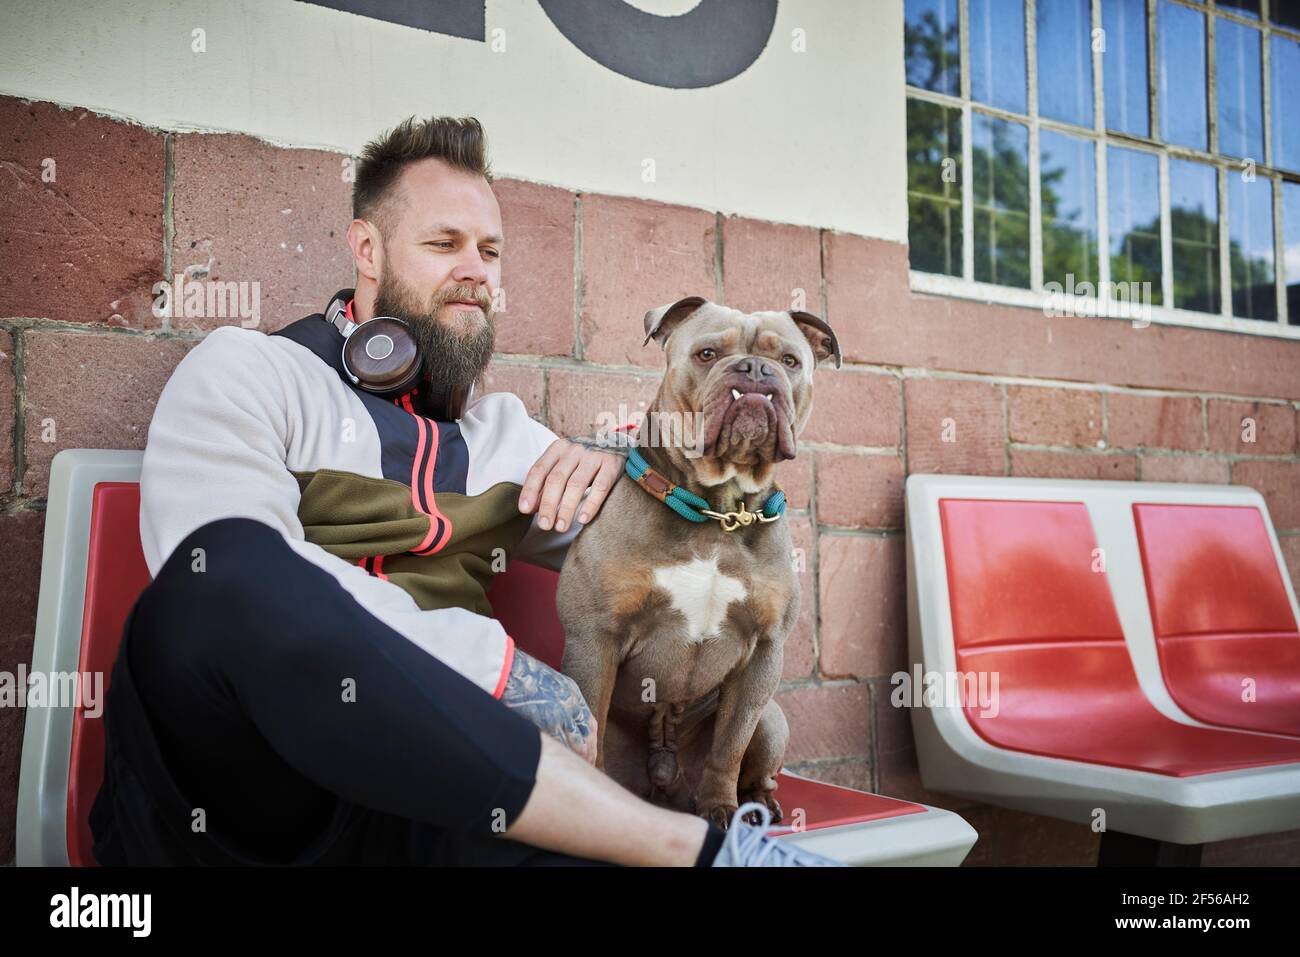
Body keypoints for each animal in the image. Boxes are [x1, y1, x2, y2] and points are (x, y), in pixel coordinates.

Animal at [556, 293, 842, 832]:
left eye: (790, 361)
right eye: (707, 354)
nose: (755, 370)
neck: (719, 511)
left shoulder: (763, 655)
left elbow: (729, 745)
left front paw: (722, 808)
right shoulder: (595, 638)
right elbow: (592, 723)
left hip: (773, 719)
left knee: (757, 758)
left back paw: (760, 803)